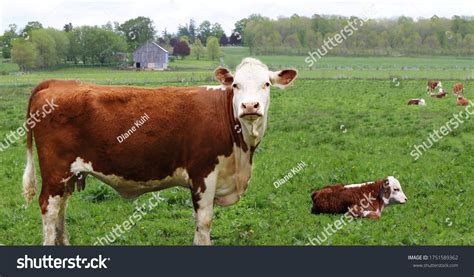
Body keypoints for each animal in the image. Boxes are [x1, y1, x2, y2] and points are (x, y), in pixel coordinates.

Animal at [23, 57, 296, 245]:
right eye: (236, 85)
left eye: (267, 84)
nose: (250, 106)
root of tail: (57, 83)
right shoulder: (203, 174)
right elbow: (204, 222)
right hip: (55, 171)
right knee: (49, 210)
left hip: (67, 176)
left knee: (61, 210)